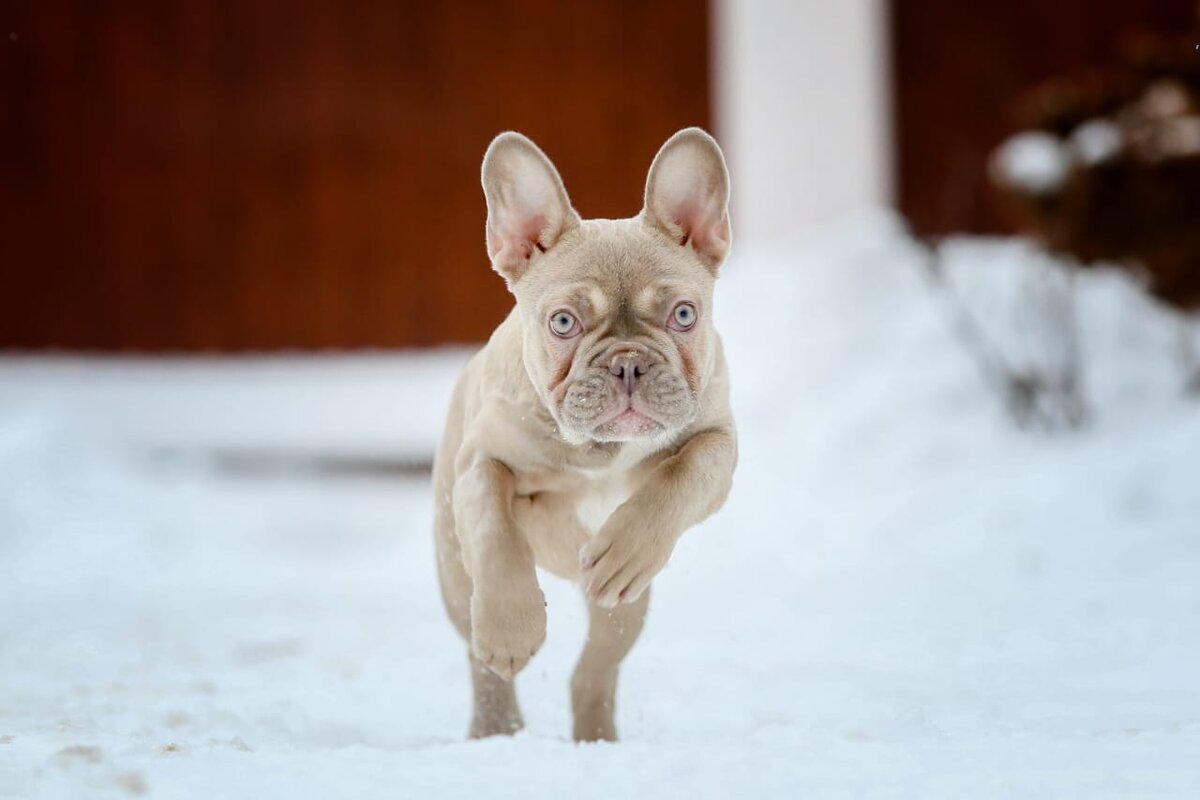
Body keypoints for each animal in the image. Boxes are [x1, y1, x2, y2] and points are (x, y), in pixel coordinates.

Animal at [432, 126, 729, 743]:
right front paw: (513, 629)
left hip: (623, 607)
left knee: (595, 668)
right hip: (453, 570)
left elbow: (689, 470)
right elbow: (495, 531)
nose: (627, 363)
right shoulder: (480, 464)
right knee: (478, 653)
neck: (600, 451)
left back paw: (596, 738)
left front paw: (627, 546)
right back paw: (496, 726)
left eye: (684, 315)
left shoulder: (720, 439)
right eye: (563, 323)